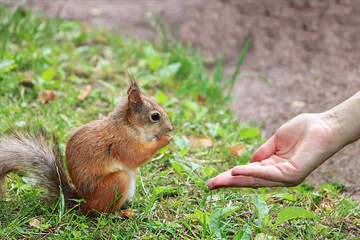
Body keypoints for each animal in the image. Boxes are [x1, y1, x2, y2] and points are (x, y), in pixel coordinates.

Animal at [0, 75, 174, 216]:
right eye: (155, 116)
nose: (171, 128)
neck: (128, 124)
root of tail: (83, 204)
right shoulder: (122, 141)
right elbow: (134, 157)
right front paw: (165, 140)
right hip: (117, 183)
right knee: (104, 212)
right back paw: (123, 212)